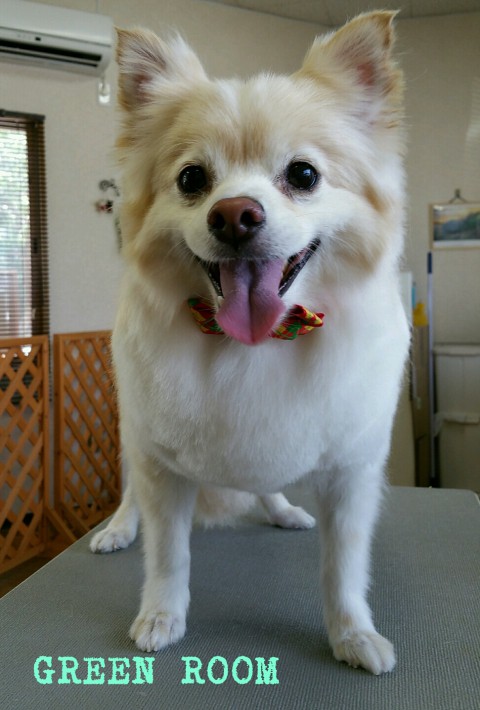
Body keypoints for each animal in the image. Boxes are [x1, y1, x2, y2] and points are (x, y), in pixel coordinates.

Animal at [90, 11, 409, 675]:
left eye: (304, 175)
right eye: (192, 179)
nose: (234, 214)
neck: (253, 346)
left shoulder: (351, 473)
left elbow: (343, 568)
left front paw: (352, 634)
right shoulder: (161, 467)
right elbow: (168, 554)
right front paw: (162, 615)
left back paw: (282, 511)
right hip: (133, 438)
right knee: (130, 495)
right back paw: (118, 528)